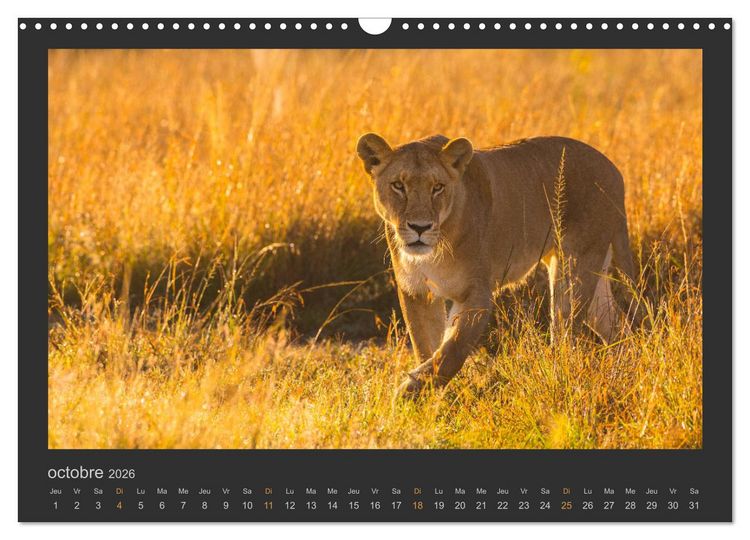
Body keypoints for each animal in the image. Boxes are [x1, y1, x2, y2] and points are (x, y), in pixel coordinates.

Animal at [356, 133, 642, 398]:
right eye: (398, 185)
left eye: (437, 187)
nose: (420, 227)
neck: (435, 249)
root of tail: (613, 169)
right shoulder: (416, 292)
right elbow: (426, 346)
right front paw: (432, 397)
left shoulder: (477, 295)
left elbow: (451, 351)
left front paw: (408, 392)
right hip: (592, 271)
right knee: (616, 325)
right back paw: (624, 371)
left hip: (573, 270)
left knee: (565, 336)